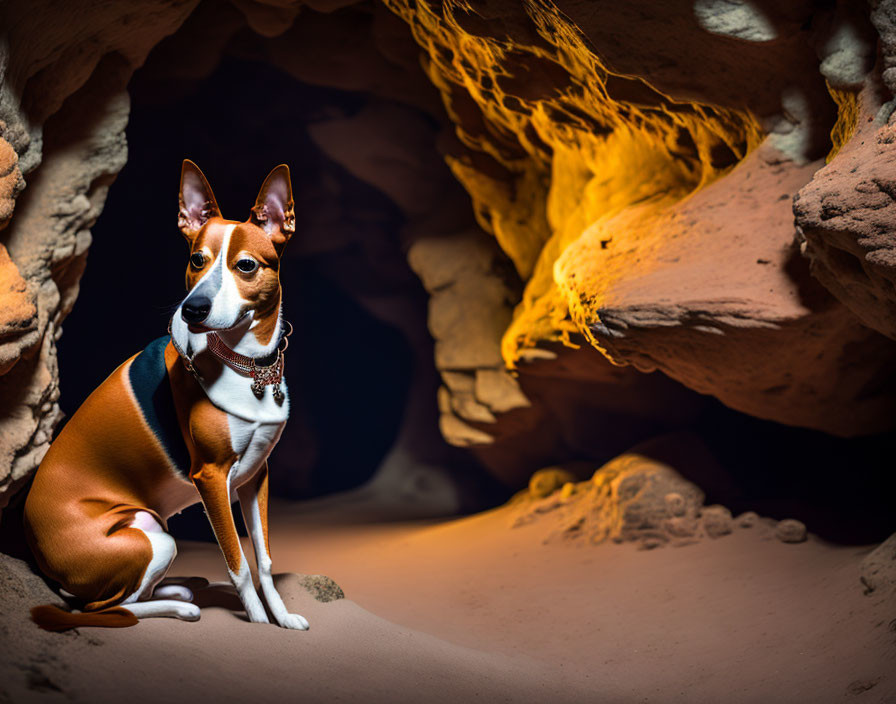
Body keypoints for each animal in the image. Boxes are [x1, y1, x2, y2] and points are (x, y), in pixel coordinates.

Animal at [22, 161, 308, 632]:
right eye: (197, 259)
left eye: (246, 266)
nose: (193, 309)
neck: (248, 365)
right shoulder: (211, 478)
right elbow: (237, 562)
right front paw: (258, 622)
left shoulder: (256, 475)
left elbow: (264, 559)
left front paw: (282, 616)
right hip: (152, 539)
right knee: (101, 608)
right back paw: (179, 606)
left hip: (157, 531)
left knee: (121, 598)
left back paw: (177, 591)